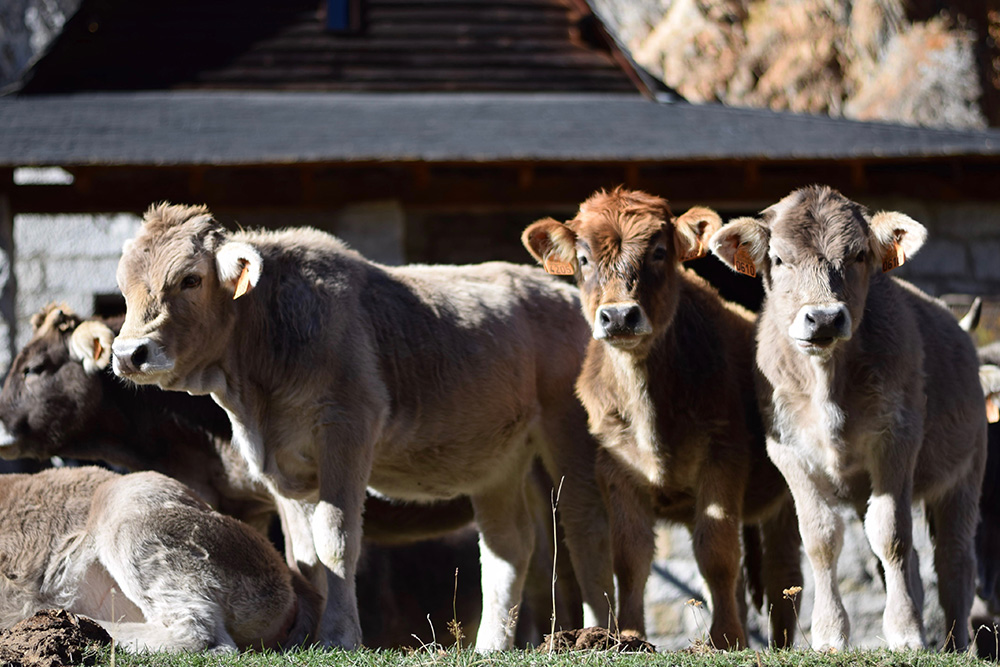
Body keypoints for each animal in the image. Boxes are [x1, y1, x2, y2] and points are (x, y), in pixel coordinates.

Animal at [107, 205, 608, 652]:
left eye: (190, 278)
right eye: (124, 287)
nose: (130, 353)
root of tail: (560, 294)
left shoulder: (346, 428)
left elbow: (336, 541)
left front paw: (338, 636)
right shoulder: (281, 465)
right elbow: (303, 557)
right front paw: (304, 637)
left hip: (570, 433)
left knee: (585, 530)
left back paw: (598, 636)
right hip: (497, 460)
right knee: (509, 546)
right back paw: (492, 645)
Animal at [520, 189, 800, 652]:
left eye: (658, 252)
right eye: (583, 257)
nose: (618, 316)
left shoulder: (723, 456)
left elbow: (716, 554)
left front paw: (725, 639)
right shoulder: (615, 467)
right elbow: (630, 557)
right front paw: (630, 636)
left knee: (784, 574)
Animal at [712, 187, 984, 652]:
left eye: (858, 255)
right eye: (779, 259)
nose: (823, 317)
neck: (827, 381)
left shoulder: (898, 438)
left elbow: (892, 534)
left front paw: (906, 632)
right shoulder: (788, 451)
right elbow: (821, 539)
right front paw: (829, 633)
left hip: (966, 473)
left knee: (954, 559)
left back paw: (957, 645)